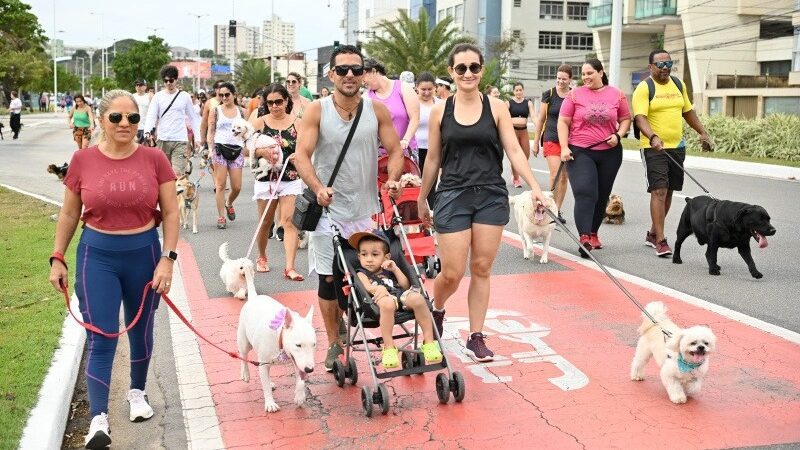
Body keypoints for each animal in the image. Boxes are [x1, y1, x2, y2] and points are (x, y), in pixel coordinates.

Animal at [236, 266, 318, 414]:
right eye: (298, 345)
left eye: (314, 344)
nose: (309, 369)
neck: (279, 334)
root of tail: (254, 297)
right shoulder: (264, 362)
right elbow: (265, 385)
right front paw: (270, 403)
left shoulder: (296, 360)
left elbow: (300, 378)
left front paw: (300, 396)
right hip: (244, 341)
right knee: (243, 355)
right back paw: (245, 374)